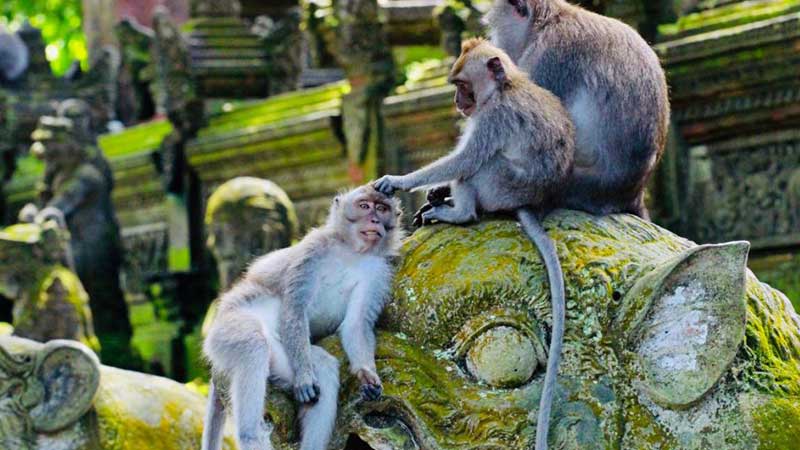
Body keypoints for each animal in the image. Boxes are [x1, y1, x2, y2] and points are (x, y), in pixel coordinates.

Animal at [202, 184, 404, 450]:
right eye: (364, 206)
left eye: (382, 208)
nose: (374, 220)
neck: (351, 251)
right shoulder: (313, 250)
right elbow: (295, 308)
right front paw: (306, 379)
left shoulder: (378, 271)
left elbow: (356, 324)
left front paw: (366, 374)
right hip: (227, 328)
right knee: (253, 345)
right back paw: (250, 435)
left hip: (281, 356)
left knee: (323, 366)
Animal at [374, 38, 573, 450]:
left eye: (463, 84)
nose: (457, 102)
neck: (505, 88)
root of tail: (526, 203)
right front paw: (433, 191)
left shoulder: (492, 118)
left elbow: (464, 160)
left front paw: (400, 181)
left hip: (498, 184)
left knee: (477, 166)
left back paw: (460, 212)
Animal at [484, 0, 670, 219]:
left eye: (495, 30)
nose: (496, 46)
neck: (547, 23)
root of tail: (633, 195)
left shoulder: (550, 56)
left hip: (576, 187)